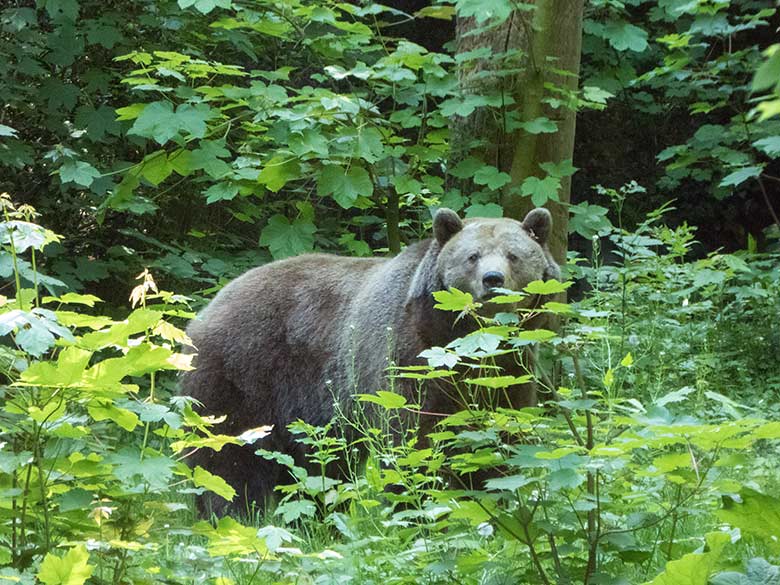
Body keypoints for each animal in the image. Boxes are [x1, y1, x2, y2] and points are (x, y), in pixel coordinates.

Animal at [181, 205, 560, 512]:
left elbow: (499, 438)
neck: (467, 344)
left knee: (316, 470)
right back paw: (229, 515)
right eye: (472, 256)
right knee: (228, 458)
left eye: (513, 255)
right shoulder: (408, 358)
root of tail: (206, 308)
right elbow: (413, 440)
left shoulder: (511, 369)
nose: (492, 280)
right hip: (244, 372)